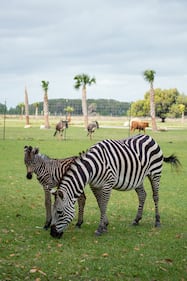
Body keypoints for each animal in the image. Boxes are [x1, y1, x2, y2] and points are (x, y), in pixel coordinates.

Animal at [50, 133, 180, 236]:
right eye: (53, 210)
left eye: (59, 212)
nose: (52, 234)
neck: (93, 168)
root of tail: (149, 137)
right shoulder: (94, 186)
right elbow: (100, 204)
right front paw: (105, 225)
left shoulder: (107, 184)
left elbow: (104, 205)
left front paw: (100, 228)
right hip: (138, 178)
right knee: (142, 195)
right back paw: (136, 220)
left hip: (155, 173)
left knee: (155, 196)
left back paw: (157, 221)